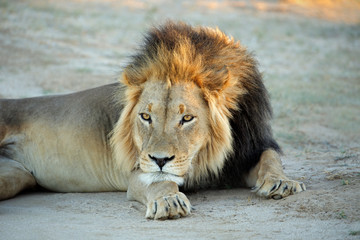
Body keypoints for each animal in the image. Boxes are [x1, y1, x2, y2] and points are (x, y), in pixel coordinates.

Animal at [0, 22, 306, 219]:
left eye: (187, 118)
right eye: (145, 116)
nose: (160, 160)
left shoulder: (247, 151)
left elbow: (270, 158)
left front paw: (282, 183)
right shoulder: (138, 173)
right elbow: (160, 183)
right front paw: (169, 201)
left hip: (17, 176)